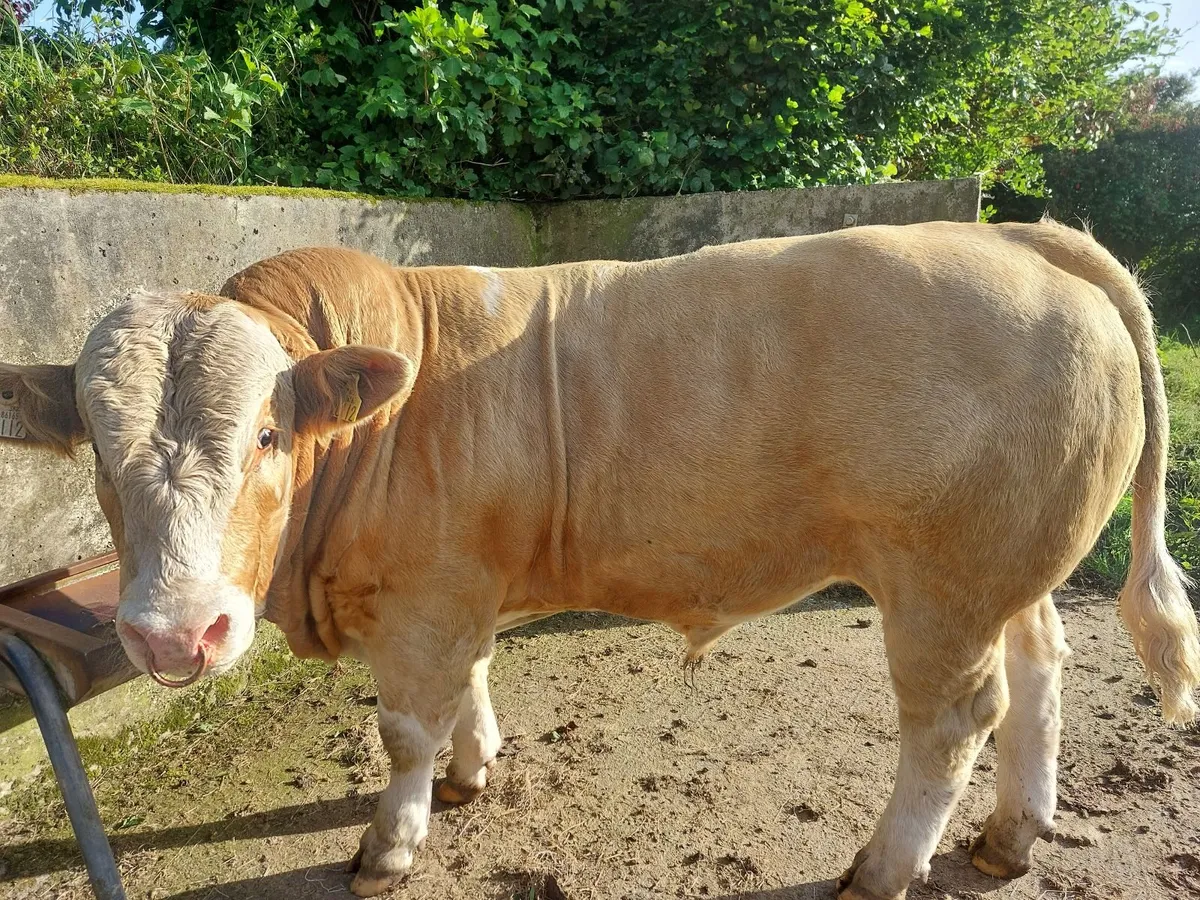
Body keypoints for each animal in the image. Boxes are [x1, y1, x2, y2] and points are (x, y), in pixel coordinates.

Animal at [1, 219, 1197, 900]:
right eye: (97, 451)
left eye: (263, 433)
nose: (173, 633)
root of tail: (1025, 235)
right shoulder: (462, 585)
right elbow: (470, 687)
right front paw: (473, 770)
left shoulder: (425, 598)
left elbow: (403, 732)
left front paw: (392, 844)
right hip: (1004, 565)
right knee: (1040, 665)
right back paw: (1012, 836)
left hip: (942, 581)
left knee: (953, 720)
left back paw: (882, 870)